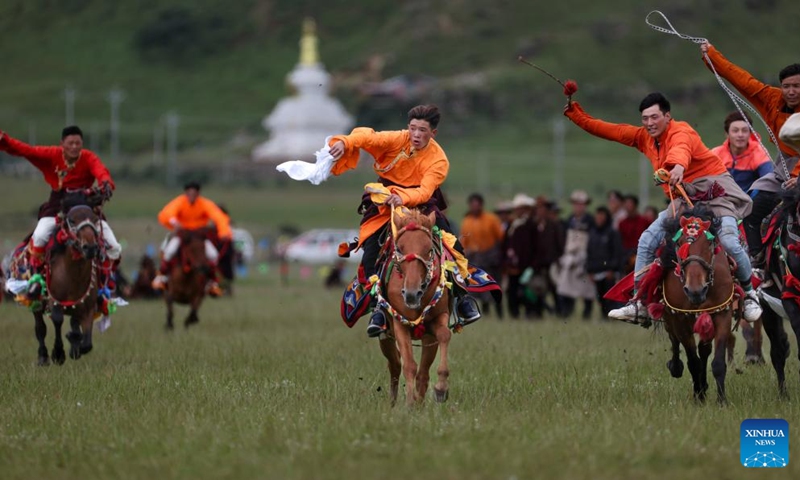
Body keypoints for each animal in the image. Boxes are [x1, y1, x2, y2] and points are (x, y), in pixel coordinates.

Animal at [34, 204, 101, 366]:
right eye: (72, 220)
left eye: (95, 219)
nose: (90, 247)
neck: (73, 276)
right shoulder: (54, 302)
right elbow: (57, 320)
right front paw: (58, 354)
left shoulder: (88, 308)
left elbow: (87, 344)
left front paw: (74, 345)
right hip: (37, 303)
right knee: (40, 328)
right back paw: (43, 357)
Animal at [374, 210, 450, 404]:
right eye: (400, 249)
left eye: (429, 249)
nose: (411, 294)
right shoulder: (400, 324)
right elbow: (408, 365)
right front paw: (409, 402)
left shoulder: (438, 319)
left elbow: (445, 334)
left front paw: (441, 389)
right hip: (385, 336)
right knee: (395, 365)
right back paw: (394, 402)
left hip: (427, 338)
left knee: (423, 374)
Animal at [660, 212, 740, 404]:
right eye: (679, 244)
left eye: (709, 244)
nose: (695, 291)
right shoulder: (680, 320)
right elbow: (693, 362)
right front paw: (699, 397)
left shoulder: (722, 315)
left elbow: (717, 362)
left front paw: (722, 401)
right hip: (669, 318)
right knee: (674, 341)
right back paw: (676, 368)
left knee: (704, 351)